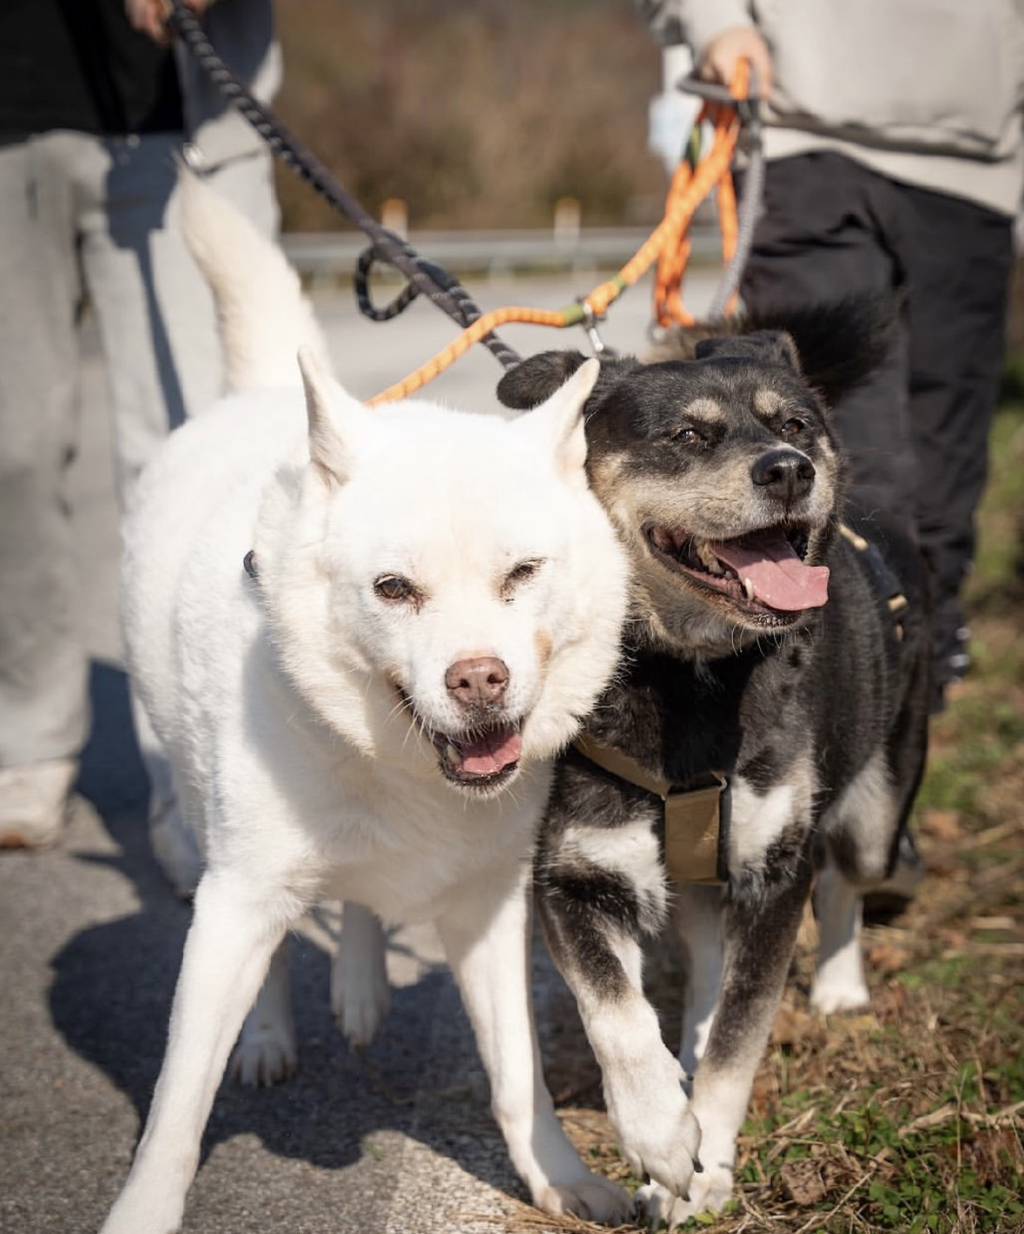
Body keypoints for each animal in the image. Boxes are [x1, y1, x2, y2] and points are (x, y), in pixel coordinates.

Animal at [106, 180, 631, 1234]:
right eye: (394, 590)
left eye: (522, 574)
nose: (480, 680)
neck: (403, 770)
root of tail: (265, 395)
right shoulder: (236, 900)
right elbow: (178, 1106)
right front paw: (143, 1209)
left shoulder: (487, 911)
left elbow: (519, 1078)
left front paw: (561, 1180)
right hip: (205, 812)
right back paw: (271, 1032)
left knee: (355, 898)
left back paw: (357, 984)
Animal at [500, 298, 932, 1224]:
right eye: (688, 436)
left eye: (795, 424)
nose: (789, 470)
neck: (690, 676)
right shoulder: (573, 878)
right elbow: (615, 1012)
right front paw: (662, 1132)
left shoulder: (775, 870)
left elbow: (742, 1035)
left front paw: (708, 1171)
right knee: (702, 951)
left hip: (877, 812)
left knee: (849, 877)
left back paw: (839, 986)